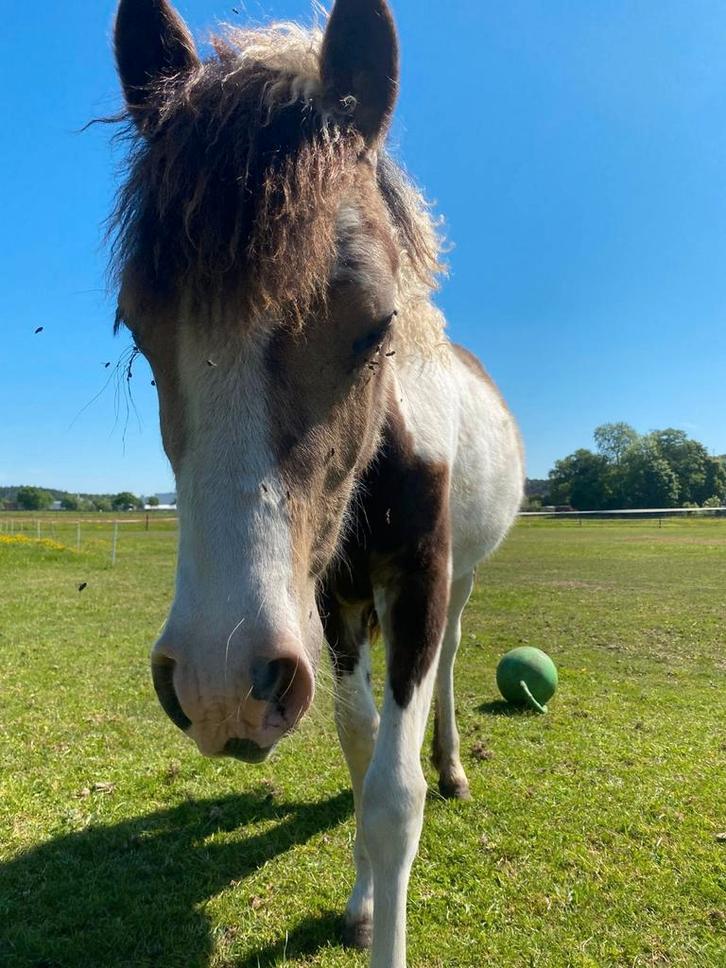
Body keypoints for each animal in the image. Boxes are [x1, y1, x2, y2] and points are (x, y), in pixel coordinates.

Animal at [110, 1, 524, 965]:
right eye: (138, 329)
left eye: (376, 326)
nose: (217, 684)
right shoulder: (333, 600)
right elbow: (359, 744)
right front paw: (362, 901)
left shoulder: (417, 582)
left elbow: (395, 797)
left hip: (460, 581)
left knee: (452, 661)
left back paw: (453, 764)